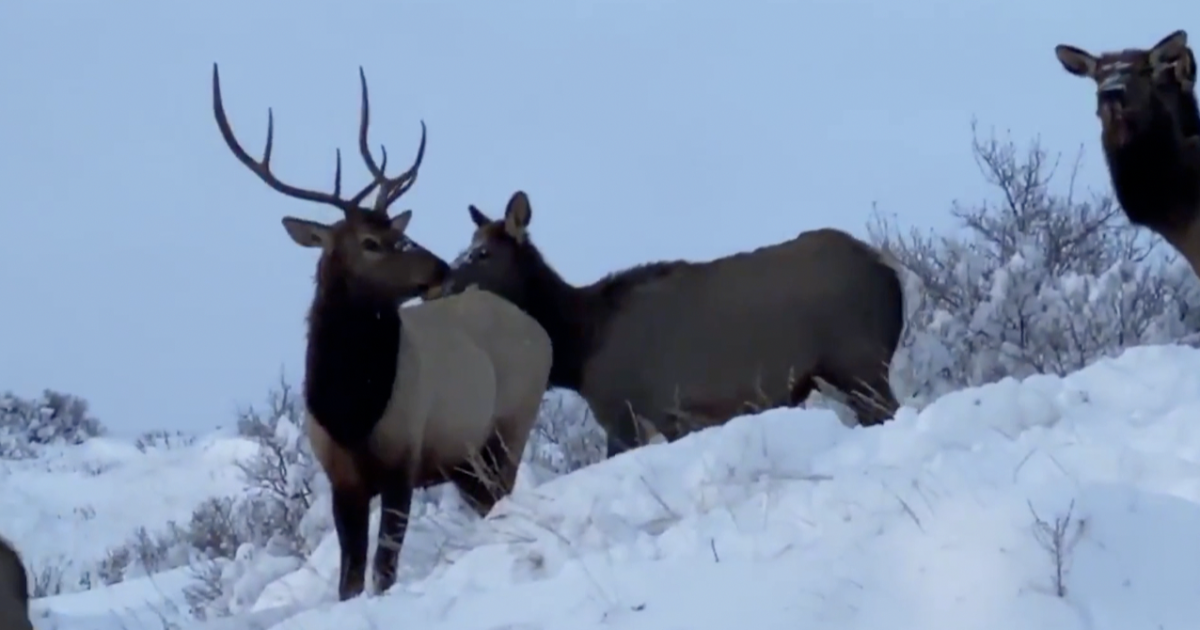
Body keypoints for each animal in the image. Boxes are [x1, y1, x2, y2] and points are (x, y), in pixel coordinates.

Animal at [211, 64, 553, 602]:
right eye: (372, 241)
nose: (441, 269)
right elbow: (350, 579)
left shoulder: (404, 458)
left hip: (511, 425)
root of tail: (539, 331)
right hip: (467, 460)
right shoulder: (341, 477)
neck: (351, 407)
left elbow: (383, 569)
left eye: (399, 229)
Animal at [438, 190, 907, 458]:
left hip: (860, 363)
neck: (578, 347)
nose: (439, 285)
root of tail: (891, 274)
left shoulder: (631, 414)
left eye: (482, 254)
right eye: (468, 246)